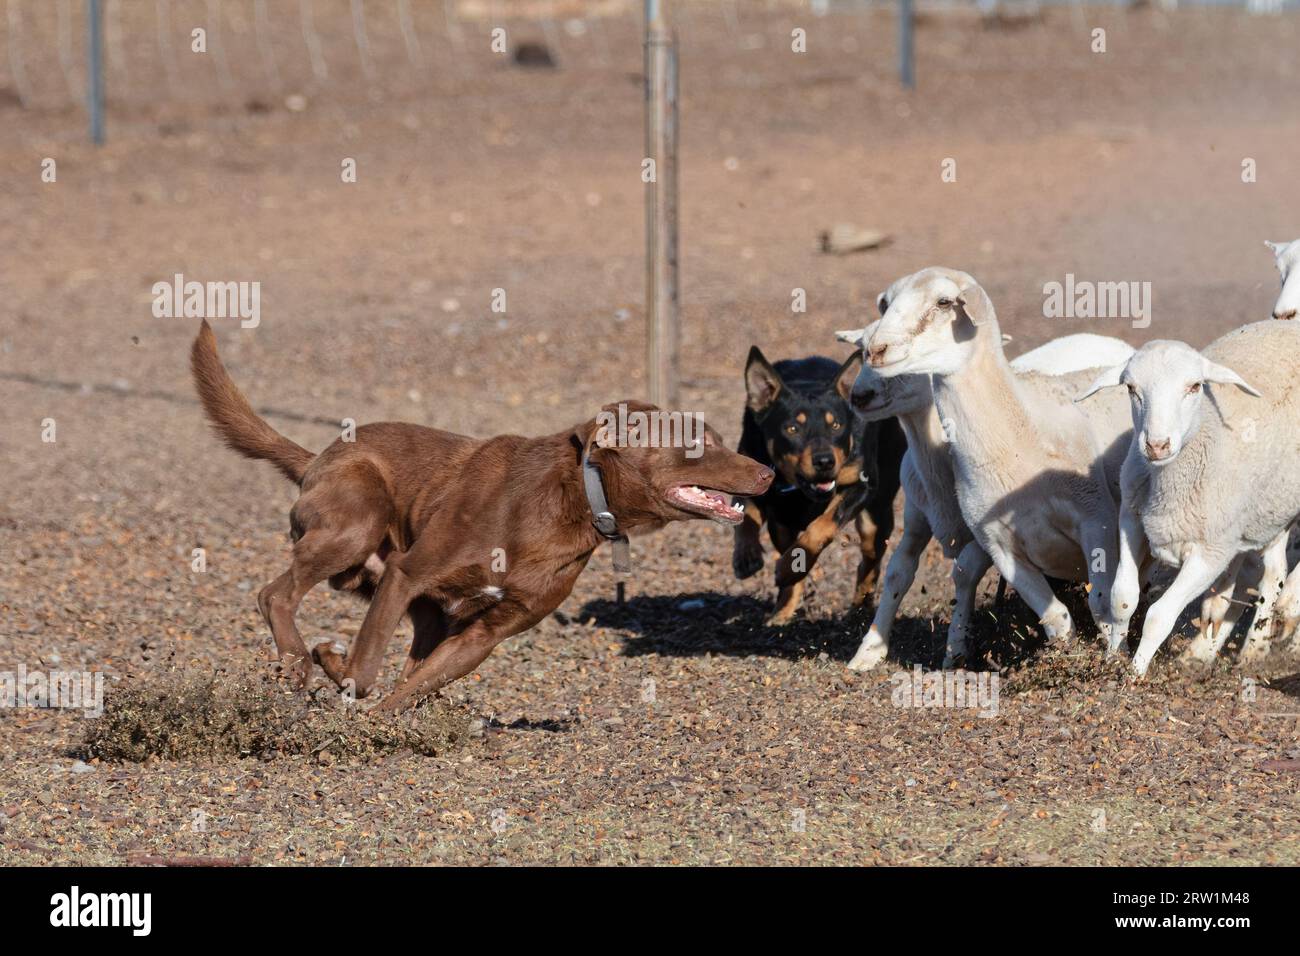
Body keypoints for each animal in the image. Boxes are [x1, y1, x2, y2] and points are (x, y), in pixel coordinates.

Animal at [188, 321, 764, 712]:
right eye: (698, 443)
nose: (766, 473)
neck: (576, 500)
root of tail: (316, 460)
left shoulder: (483, 634)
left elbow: (412, 687)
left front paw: (376, 724)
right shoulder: (407, 574)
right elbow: (368, 668)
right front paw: (337, 669)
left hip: (416, 604)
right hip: (360, 521)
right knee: (275, 594)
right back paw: (299, 663)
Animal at [733, 348, 904, 624]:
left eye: (836, 425)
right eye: (792, 428)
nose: (824, 461)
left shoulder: (860, 485)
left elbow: (822, 526)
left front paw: (787, 568)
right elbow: (746, 518)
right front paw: (747, 558)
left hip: (877, 516)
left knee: (870, 562)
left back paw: (859, 609)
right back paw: (783, 609)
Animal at [857, 269, 1133, 658]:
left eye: (944, 302)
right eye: (886, 303)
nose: (876, 350)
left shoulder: (1097, 521)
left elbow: (1103, 604)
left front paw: (1113, 658)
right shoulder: (999, 546)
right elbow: (1056, 617)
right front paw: (1064, 656)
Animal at [1071, 319, 1300, 671]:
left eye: (1194, 387)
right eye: (1131, 388)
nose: (1157, 445)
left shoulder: (1211, 553)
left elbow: (1158, 617)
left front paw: (1134, 674)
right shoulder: (1132, 520)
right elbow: (1122, 598)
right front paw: (1113, 659)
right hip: (1271, 510)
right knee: (1274, 572)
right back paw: (1240, 649)